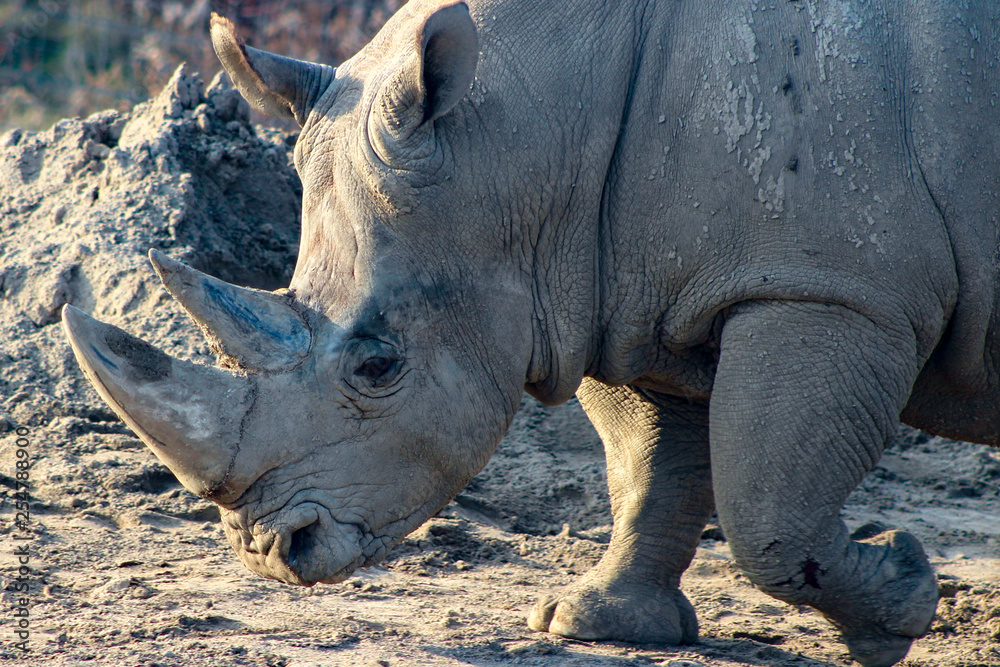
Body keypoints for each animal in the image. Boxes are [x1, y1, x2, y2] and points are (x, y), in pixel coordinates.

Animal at [61, 1, 1000, 665]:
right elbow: (651, 465)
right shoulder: (616, 283)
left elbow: (768, 507)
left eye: (378, 364)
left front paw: (901, 600)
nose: (270, 551)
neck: (526, 140)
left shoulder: (829, 289)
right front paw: (598, 622)